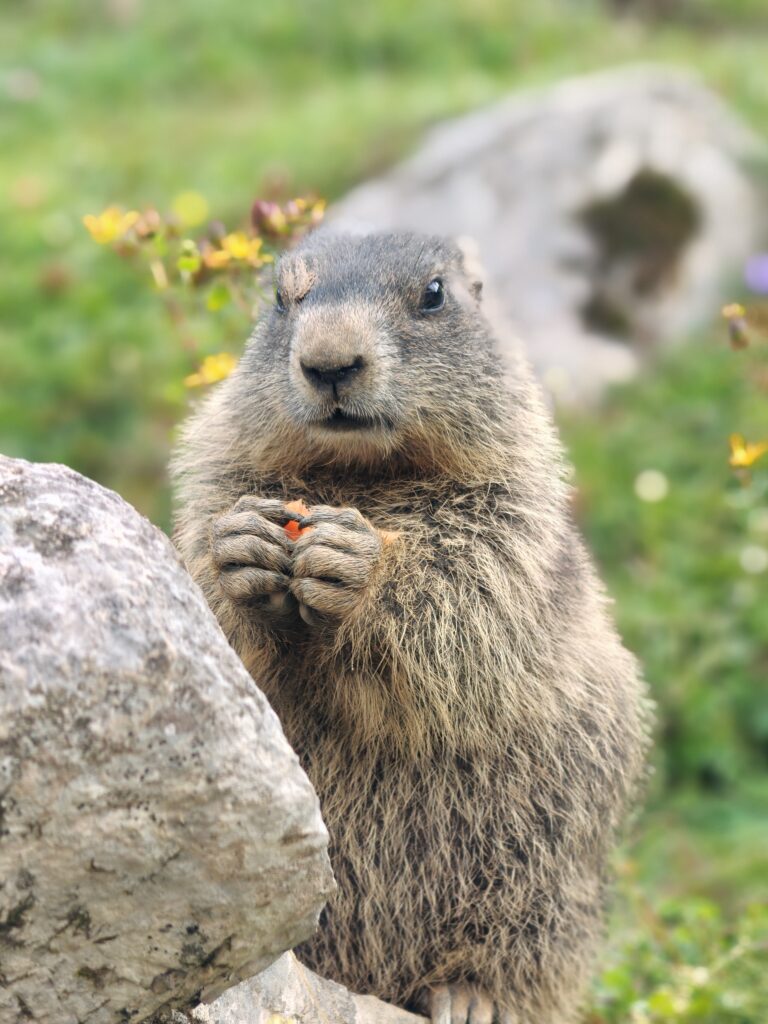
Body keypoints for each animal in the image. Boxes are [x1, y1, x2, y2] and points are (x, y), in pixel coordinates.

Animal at [172, 231, 650, 1024]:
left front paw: (360, 564)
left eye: (433, 295)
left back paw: (471, 995)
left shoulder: (508, 505)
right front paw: (239, 546)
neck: (365, 476)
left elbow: (469, 588)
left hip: (550, 881)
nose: (329, 360)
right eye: (280, 297)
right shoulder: (221, 467)